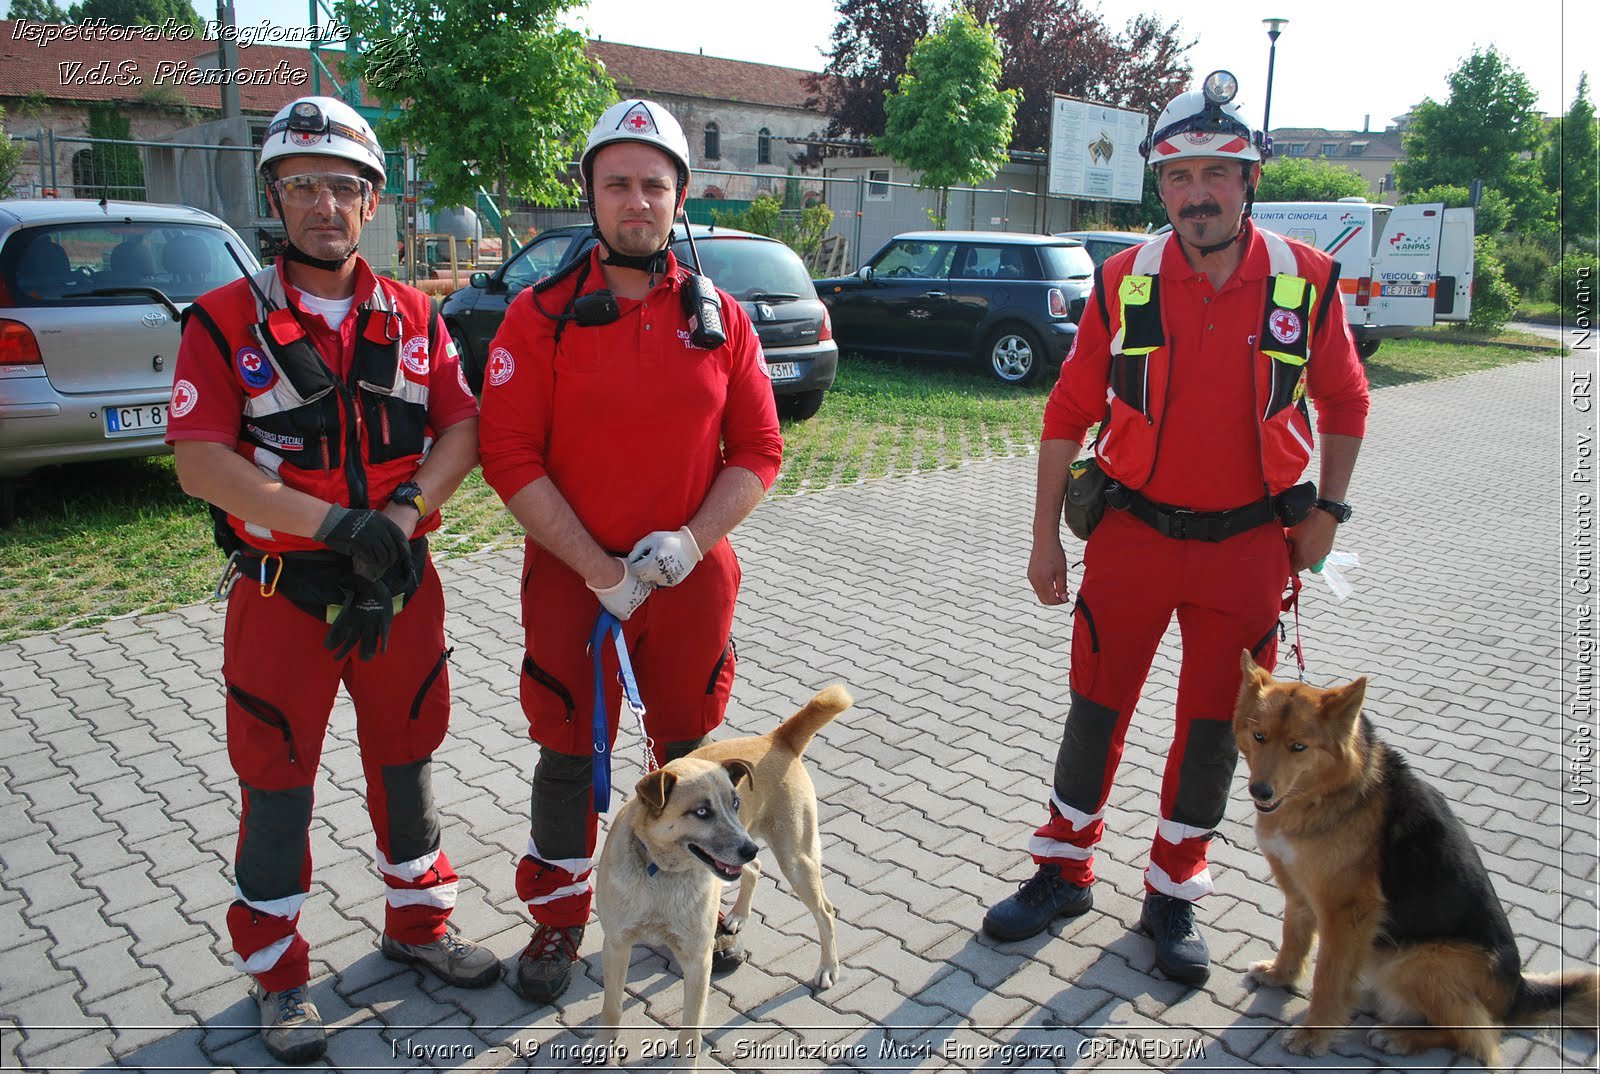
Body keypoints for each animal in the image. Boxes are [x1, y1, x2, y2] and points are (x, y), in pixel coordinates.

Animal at [595, 685, 851, 1062]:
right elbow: (612, 1009)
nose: (749, 849)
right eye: (701, 812)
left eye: (734, 804)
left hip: (795, 859)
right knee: (756, 871)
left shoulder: (697, 959)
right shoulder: (615, 944)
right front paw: (603, 1047)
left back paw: (827, 967)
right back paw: (737, 914)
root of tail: (777, 737)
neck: (662, 873)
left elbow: (690, 1030)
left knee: (826, 912)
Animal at [1228, 646, 1593, 1069]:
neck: (1326, 793)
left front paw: (1314, 1033)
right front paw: (1280, 975)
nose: (1261, 791)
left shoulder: (1345, 911)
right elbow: (1294, 937)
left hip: (1414, 962)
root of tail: (1516, 993)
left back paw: (1400, 1037)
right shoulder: (1300, 888)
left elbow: (1328, 977)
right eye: (1259, 737)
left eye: (1298, 747)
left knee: (1476, 1036)